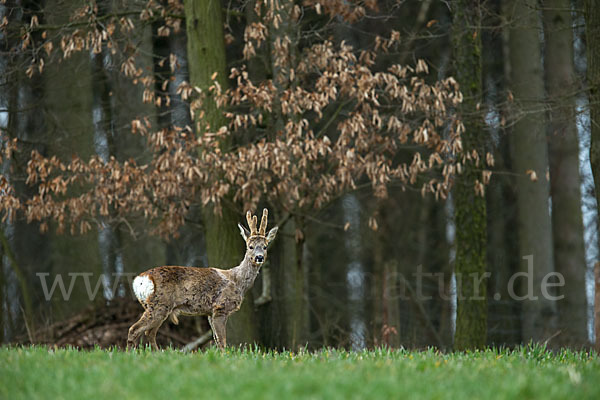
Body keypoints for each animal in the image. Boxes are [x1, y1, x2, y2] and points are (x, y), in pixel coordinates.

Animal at [127, 209, 278, 350]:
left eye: (265, 246)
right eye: (250, 246)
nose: (259, 257)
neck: (238, 281)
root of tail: (140, 280)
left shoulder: (209, 313)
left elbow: (216, 340)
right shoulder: (220, 307)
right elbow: (222, 341)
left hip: (158, 306)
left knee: (149, 333)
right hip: (159, 304)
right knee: (134, 329)